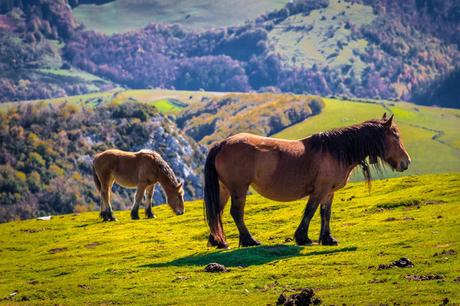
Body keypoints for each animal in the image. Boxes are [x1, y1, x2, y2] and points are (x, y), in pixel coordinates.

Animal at [204, 113, 410, 247]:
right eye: (396, 136)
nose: (406, 162)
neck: (334, 151)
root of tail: (223, 143)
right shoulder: (320, 190)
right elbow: (310, 211)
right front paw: (302, 237)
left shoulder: (329, 191)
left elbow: (325, 213)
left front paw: (328, 239)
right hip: (238, 189)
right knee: (236, 213)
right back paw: (249, 241)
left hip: (225, 189)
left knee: (217, 212)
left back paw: (219, 241)